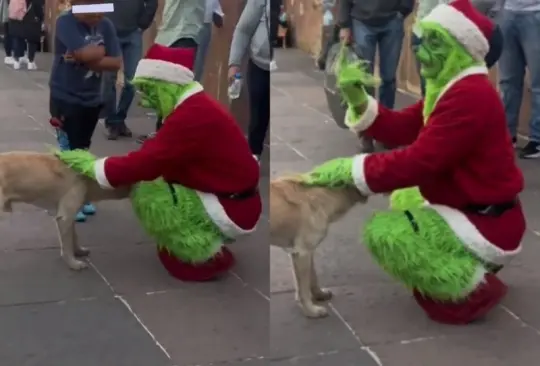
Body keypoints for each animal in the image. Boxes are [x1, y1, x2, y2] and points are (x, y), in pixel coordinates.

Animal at [0, 151, 130, 268]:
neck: (87, 174)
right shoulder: (64, 218)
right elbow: (67, 244)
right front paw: (73, 263)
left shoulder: (70, 217)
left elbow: (74, 236)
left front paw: (78, 251)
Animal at [270, 174, 368, 318]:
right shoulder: (302, 253)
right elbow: (304, 290)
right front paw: (311, 311)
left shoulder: (303, 252)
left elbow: (313, 277)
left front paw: (318, 294)